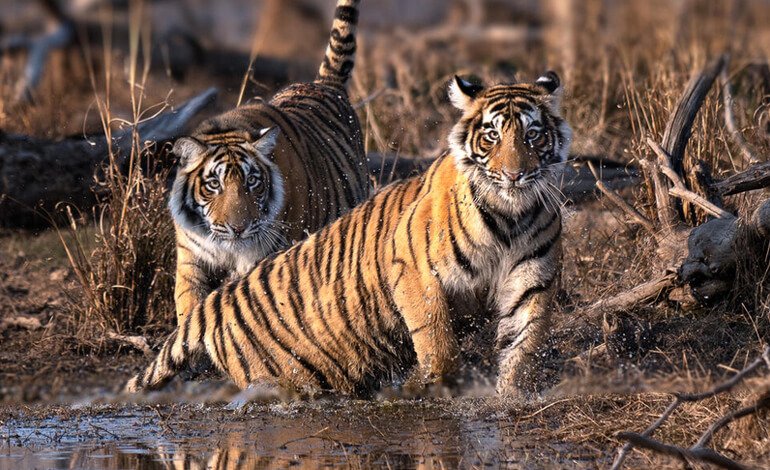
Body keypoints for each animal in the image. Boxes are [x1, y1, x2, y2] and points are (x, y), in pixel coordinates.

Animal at [125, 71, 572, 398]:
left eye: (532, 134)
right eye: (492, 135)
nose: (514, 174)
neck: (509, 217)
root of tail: (214, 305)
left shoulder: (531, 281)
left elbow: (524, 346)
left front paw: (508, 399)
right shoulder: (413, 268)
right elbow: (437, 342)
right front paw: (425, 386)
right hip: (289, 372)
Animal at [168, 0, 368, 329]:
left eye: (252, 182)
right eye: (214, 184)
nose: (238, 229)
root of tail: (323, 84)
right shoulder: (191, 258)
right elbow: (189, 303)